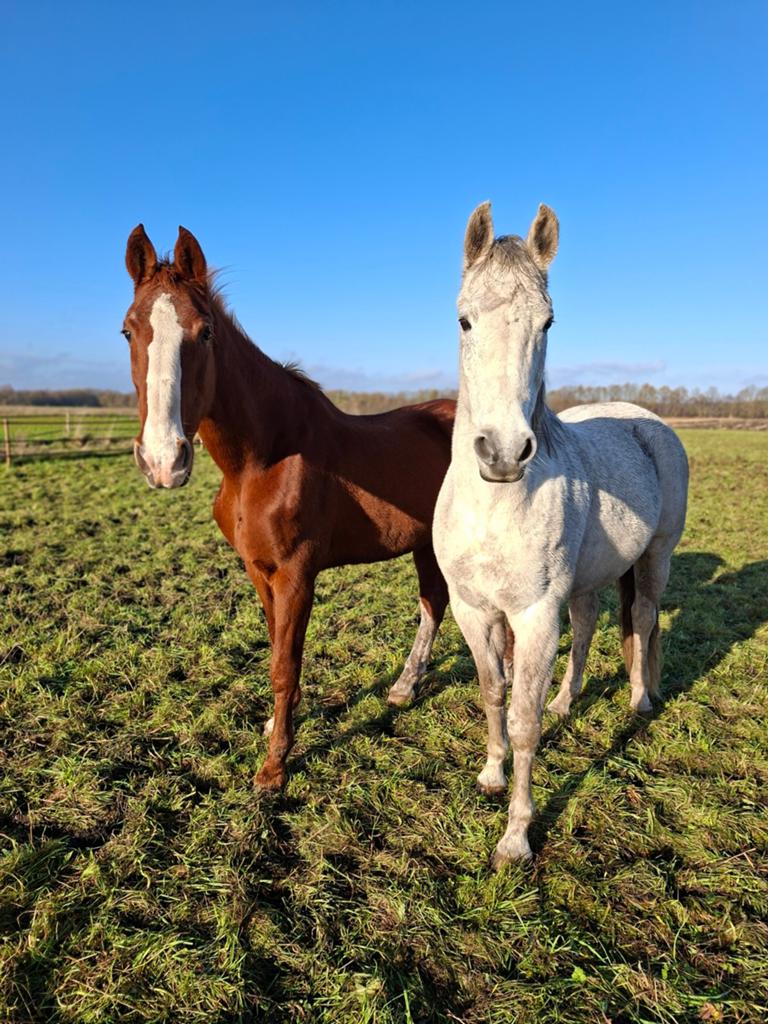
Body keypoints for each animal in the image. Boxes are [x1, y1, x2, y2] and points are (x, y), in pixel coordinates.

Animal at [122, 225, 455, 790]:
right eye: (128, 331)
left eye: (205, 333)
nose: (164, 460)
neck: (263, 459)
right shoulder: (259, 570)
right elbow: (276, 646)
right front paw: (274, 728)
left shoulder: (297, 574)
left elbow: (284, 664)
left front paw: (274, 766)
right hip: (427, 543)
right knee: (433, 601)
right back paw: (404, 688)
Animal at [433, 202, 688, 866]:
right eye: (464, 319)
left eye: (547, 322)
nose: (502, 451)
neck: (494, 506)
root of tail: (646, 421)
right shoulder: (474, 610)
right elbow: (494, 694)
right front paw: (491, 774)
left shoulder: (534, 616)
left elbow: (524, 721)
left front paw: (516, 836)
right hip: (591, 579)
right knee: (589, 630)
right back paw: (567, 702)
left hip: (655, 558)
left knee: (643, 620)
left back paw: (638, 701)